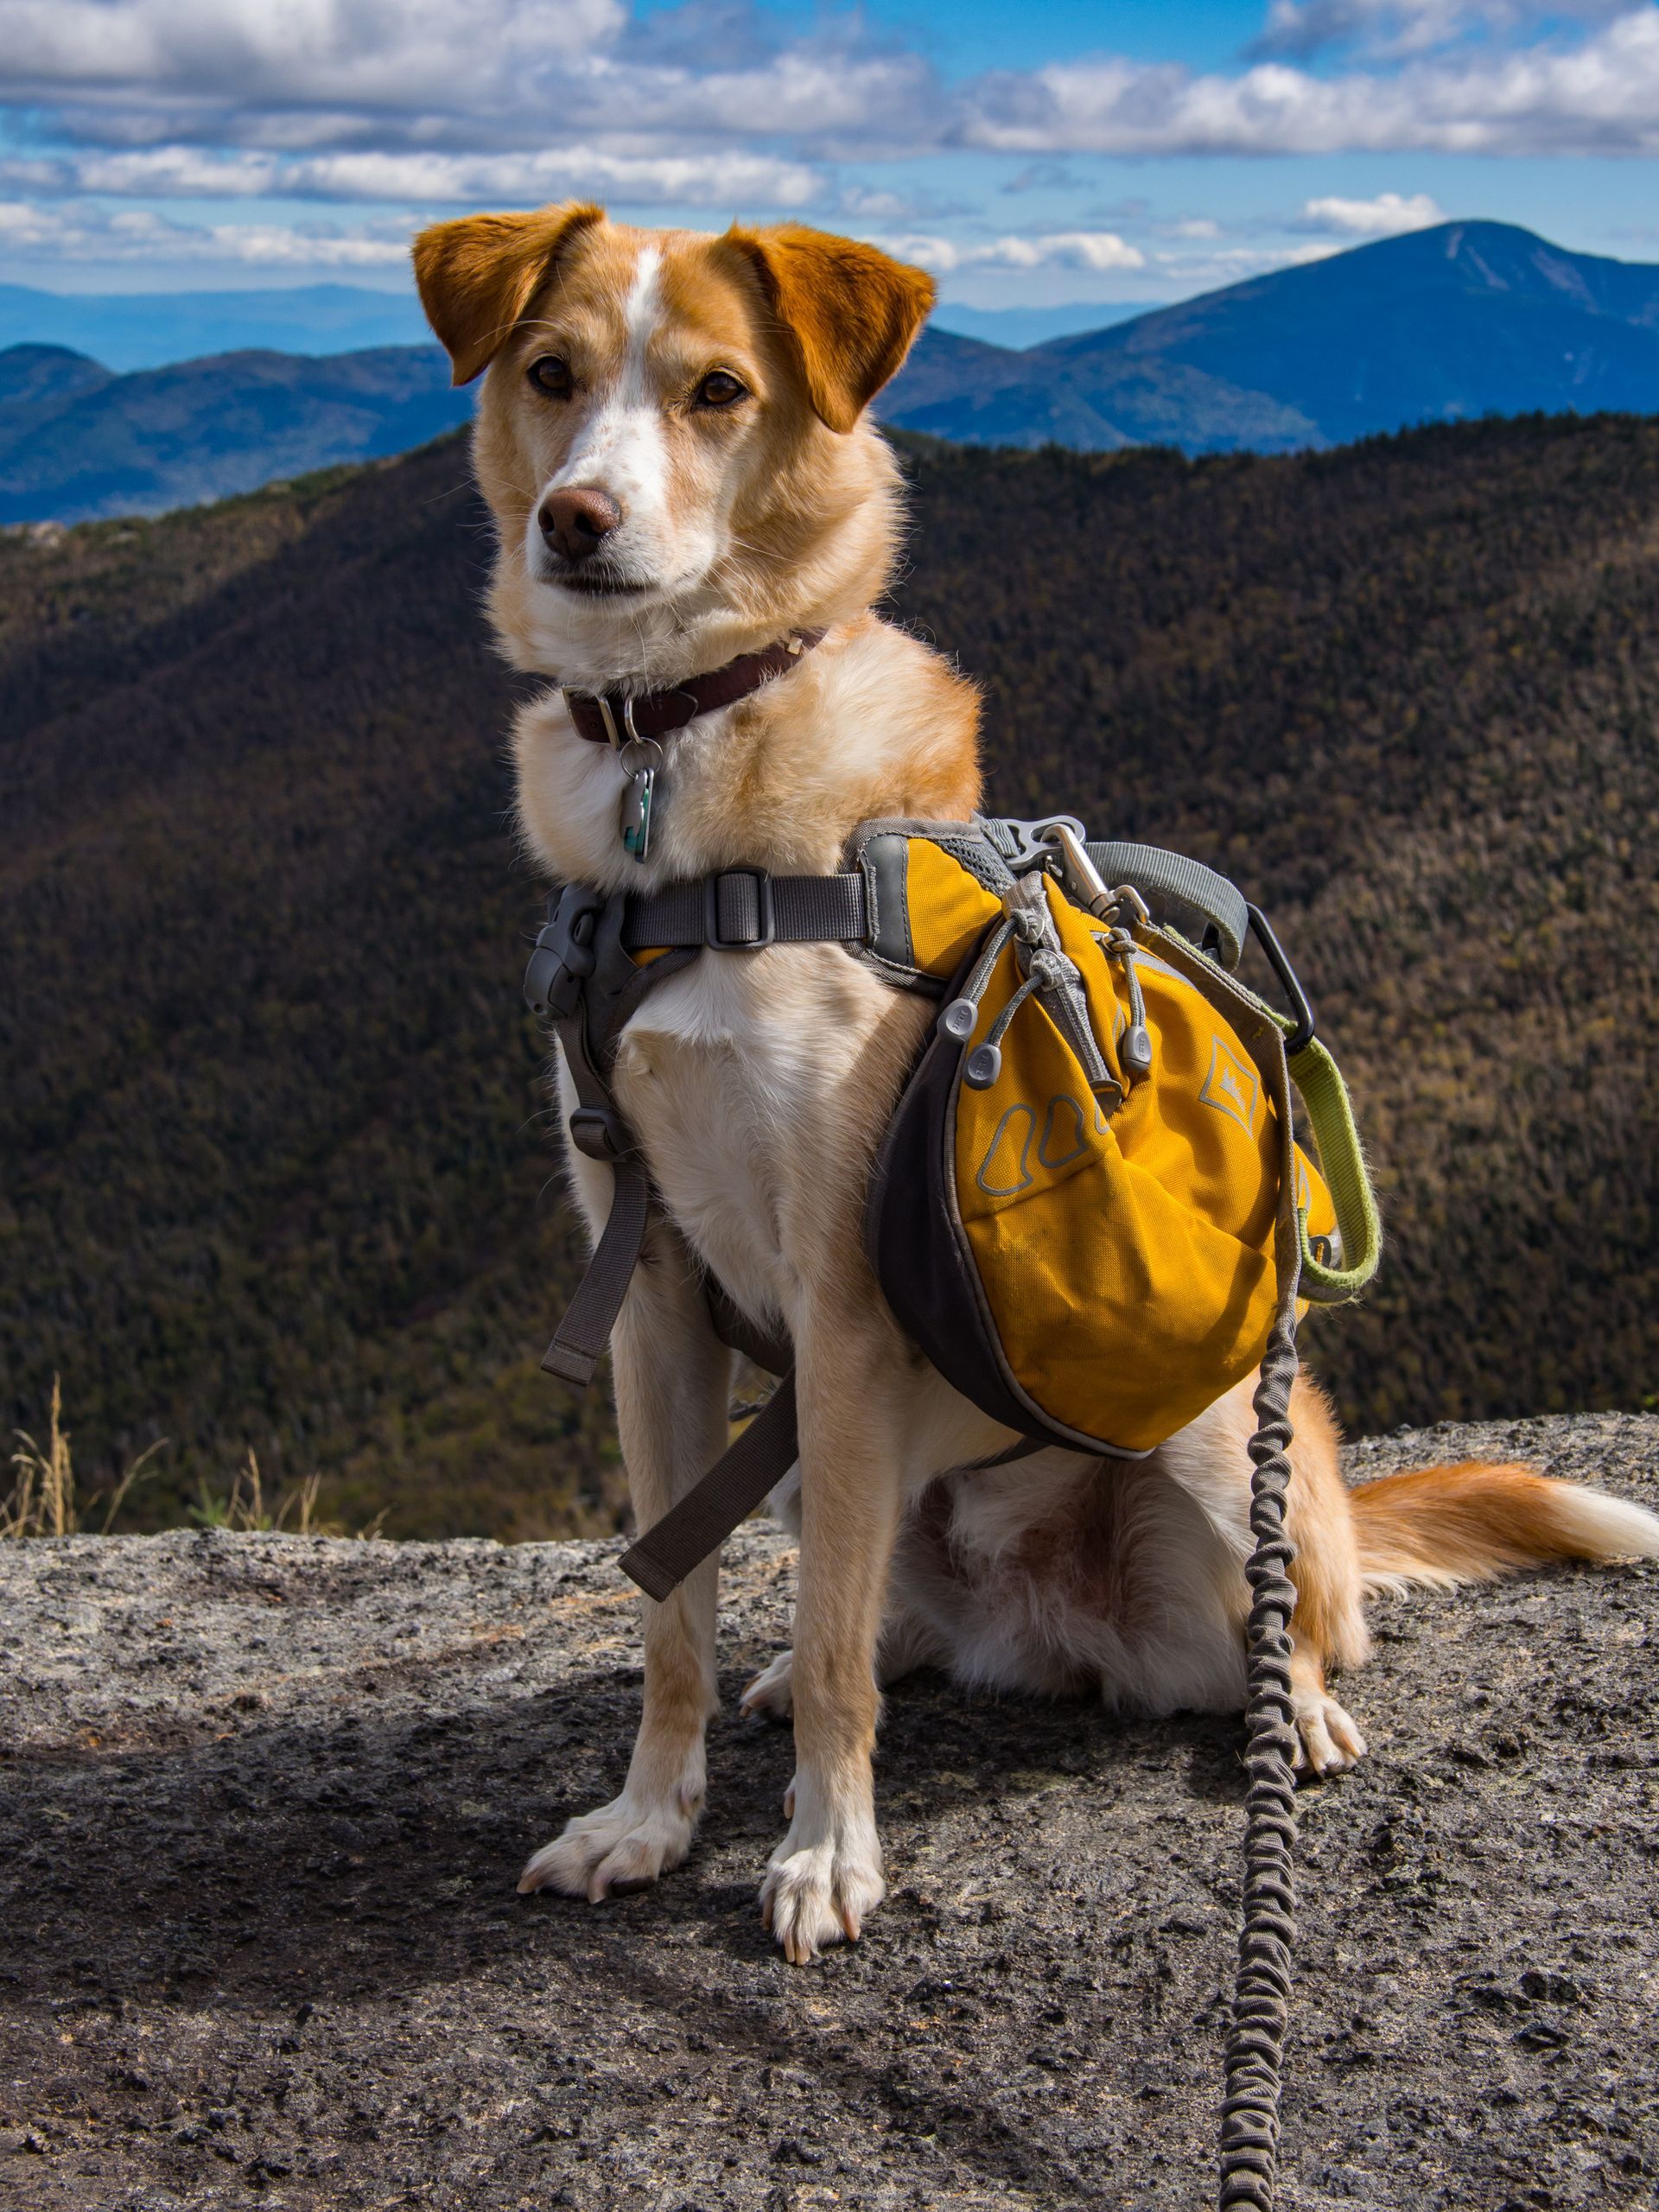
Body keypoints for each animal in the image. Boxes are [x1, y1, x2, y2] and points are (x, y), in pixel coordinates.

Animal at [416, 211, 1659, 1973]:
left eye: (718, 390)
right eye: (549, 372)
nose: (574, 520)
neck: (691, 789)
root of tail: (1054, 1630)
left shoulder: (845, 1307)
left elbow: (834, 1666)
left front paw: (826, 1853)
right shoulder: (648, 1290)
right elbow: (673, 1621)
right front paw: (650, 1820)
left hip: (1214, 1446)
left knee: (1288, 1619)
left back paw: (1294, 1711)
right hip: (820, 1462)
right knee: (870, 1610)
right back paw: (825, 1662)